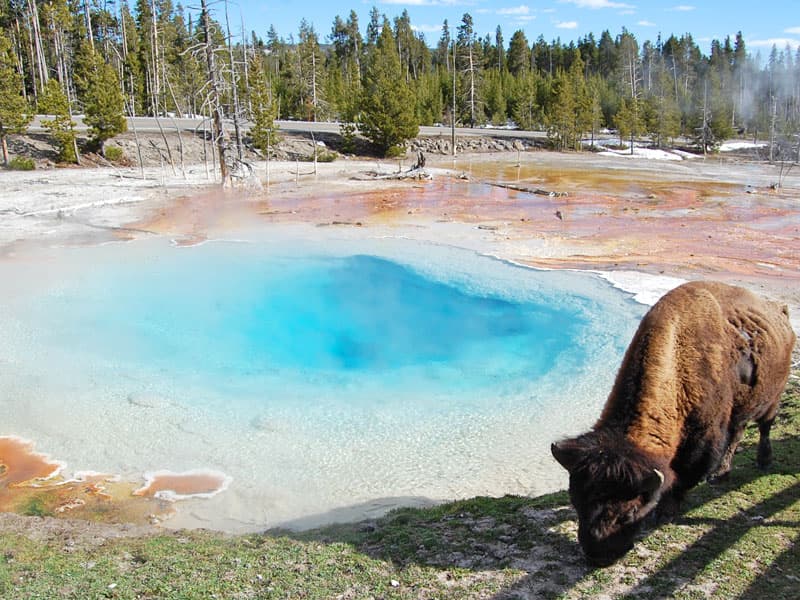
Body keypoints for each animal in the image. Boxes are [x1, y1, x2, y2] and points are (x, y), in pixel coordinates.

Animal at [552, 278, 796, 564]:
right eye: (576, 502)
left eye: (629, 512)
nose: (599, 555)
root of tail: (781, 312)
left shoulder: (704, 440)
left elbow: (684, 477)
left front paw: (666, 512)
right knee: (737, 434)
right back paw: (721, 475)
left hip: (772, 400)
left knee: (765, 427)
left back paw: (763, 461)